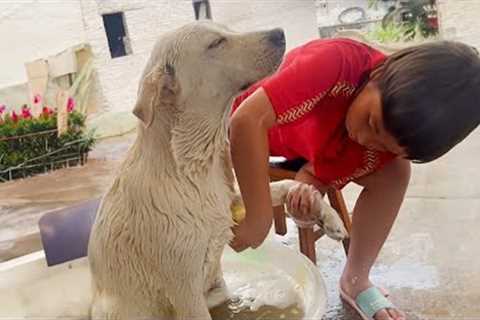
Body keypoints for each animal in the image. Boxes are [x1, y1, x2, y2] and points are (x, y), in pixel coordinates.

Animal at [88, 21, 346, 318]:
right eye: (216, 43)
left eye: (226, 30)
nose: (279, 33)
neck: (191, 168)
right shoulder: (186, 292)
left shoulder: (229, 201)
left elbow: (285, 185)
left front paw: (326, 215)